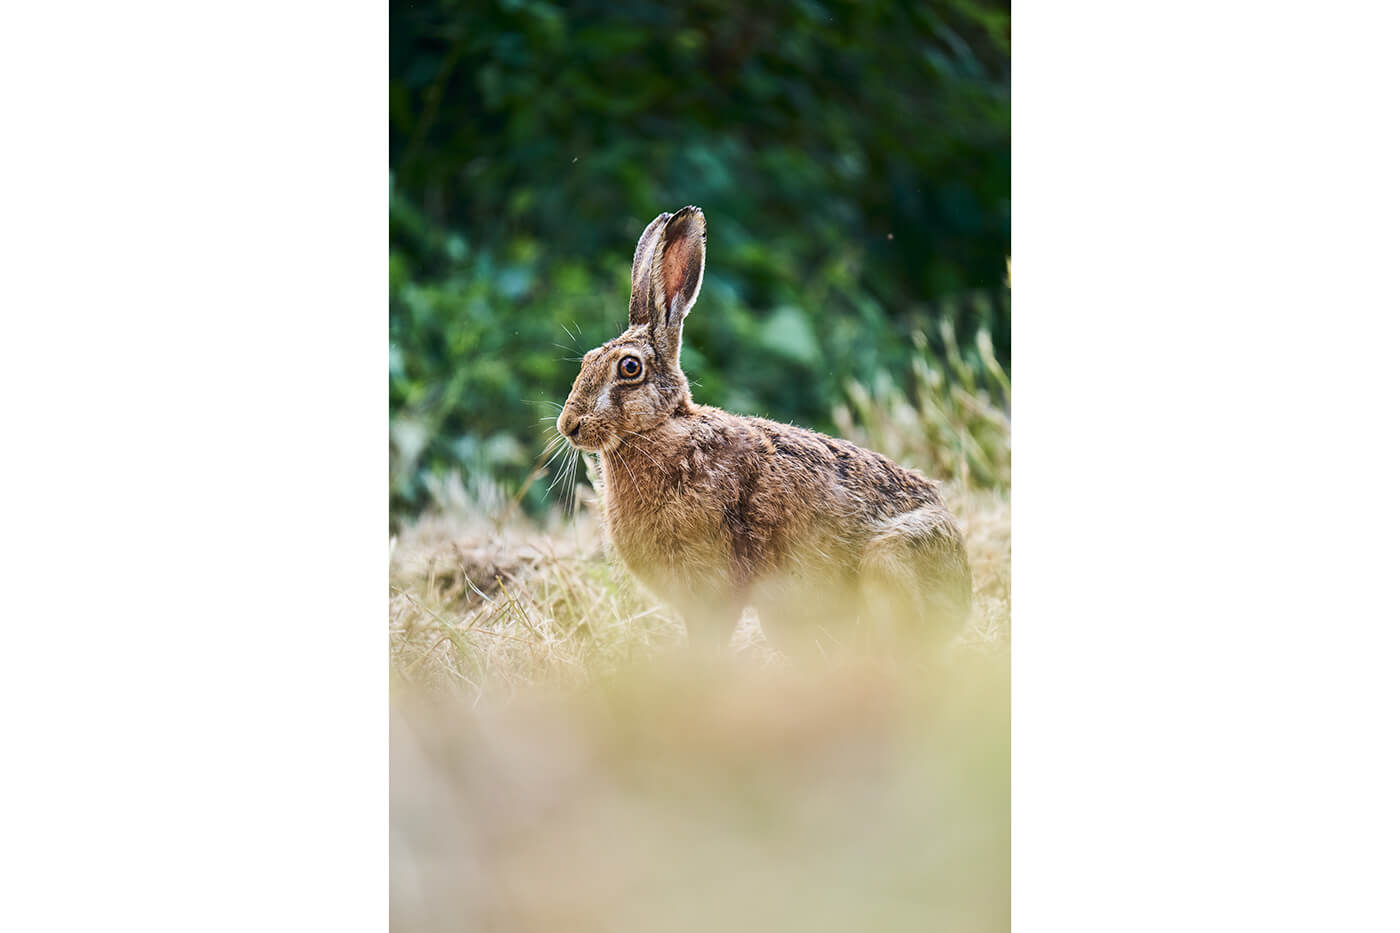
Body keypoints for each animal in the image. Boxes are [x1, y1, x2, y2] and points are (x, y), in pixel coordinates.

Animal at [557, 206, 971, 655]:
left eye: (629, 368)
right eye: (587, 360)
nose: (568, 425)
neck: (664, 429)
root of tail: (963, 586)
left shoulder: (714, 583)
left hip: (889, 562)